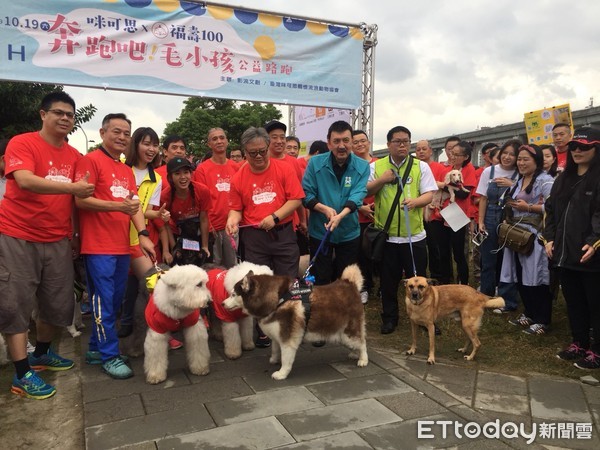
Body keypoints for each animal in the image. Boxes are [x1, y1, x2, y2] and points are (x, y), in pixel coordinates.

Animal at [224, 264, 368, 380]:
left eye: (233, 294)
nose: (222, 304)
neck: (278, 299)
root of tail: (349, 283)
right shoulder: (277, 335)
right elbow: (275, 349)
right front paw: (275, 360)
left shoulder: (288, 340)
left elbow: (286, 359)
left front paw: (282, 373)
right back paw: (355, 354)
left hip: (347, 334)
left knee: (362, 343)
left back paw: (363, 359)